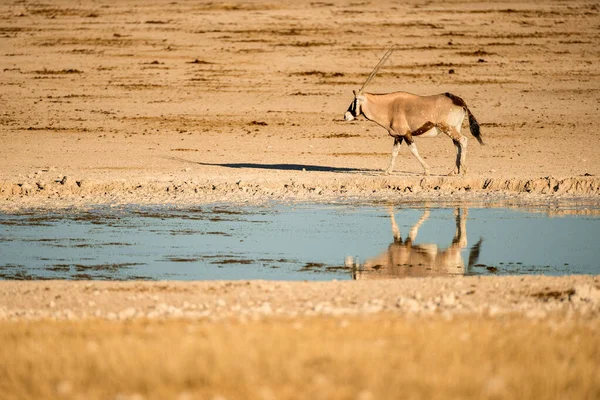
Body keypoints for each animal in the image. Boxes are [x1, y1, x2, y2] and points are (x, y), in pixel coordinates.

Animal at [344, 47, 480, 175]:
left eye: (355, 101)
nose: (345, 116)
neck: (388, 107)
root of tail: (458, 100)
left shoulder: (406, 134)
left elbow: (414, 151)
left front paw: (426, 170)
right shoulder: (398, 136)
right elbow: (394, 152)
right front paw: (387, 171)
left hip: (448, 128)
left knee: (463, 140)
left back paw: (464, 170)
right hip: (454, 128)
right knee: (457, 144)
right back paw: (453, 171)